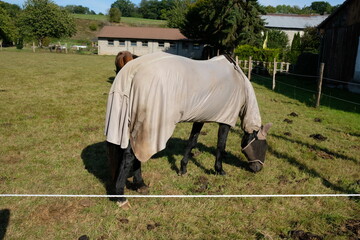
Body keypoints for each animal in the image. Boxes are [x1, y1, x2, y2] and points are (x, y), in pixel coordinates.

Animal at [105, 52, 272, 206]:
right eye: (263, 146)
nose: (258, 168)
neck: (238, 80)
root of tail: (133, 70)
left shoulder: (200, 118)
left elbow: (192, 141)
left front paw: (183, 169)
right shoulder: (225, 120)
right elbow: (221, 145)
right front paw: (219, 170)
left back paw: (141, 185)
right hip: (146, 127)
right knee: (130, 156)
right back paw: (122, 197)